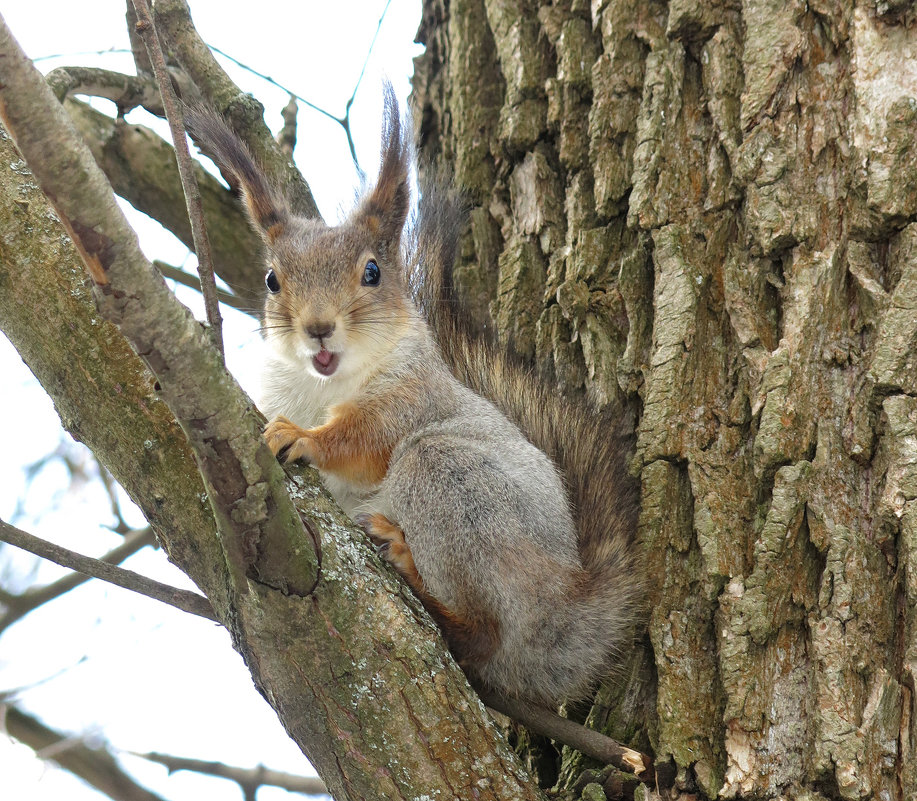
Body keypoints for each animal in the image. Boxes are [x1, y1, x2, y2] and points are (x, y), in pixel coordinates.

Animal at [185, 92, 640, 708]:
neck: (323, 386)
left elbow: (363, 438)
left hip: (452, 479)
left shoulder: (414, 393)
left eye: (373, 272)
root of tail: (569, 607)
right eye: (273, 279)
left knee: (484, 633)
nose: (319, 329)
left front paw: (303, 437)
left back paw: (415, 572)